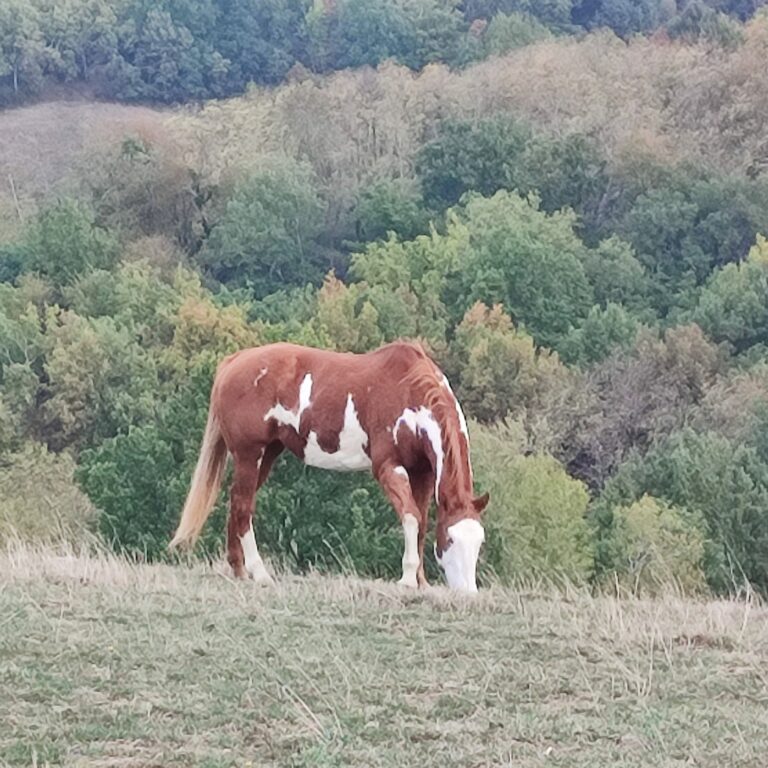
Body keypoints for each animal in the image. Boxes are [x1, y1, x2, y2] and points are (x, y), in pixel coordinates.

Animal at [171, 342, 488, 592]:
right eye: (450, 541)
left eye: (479, 542)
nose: (468, 592)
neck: (409, 392)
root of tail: (234, 361)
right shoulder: (387, 467)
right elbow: (410, 517)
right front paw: (408, 579)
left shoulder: (421, 471)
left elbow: (420, 522)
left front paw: (420, 580)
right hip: (250, 454)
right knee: (243, 508)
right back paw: (259, 572)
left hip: (267, 454)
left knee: (236, 501)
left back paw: (239, 570)